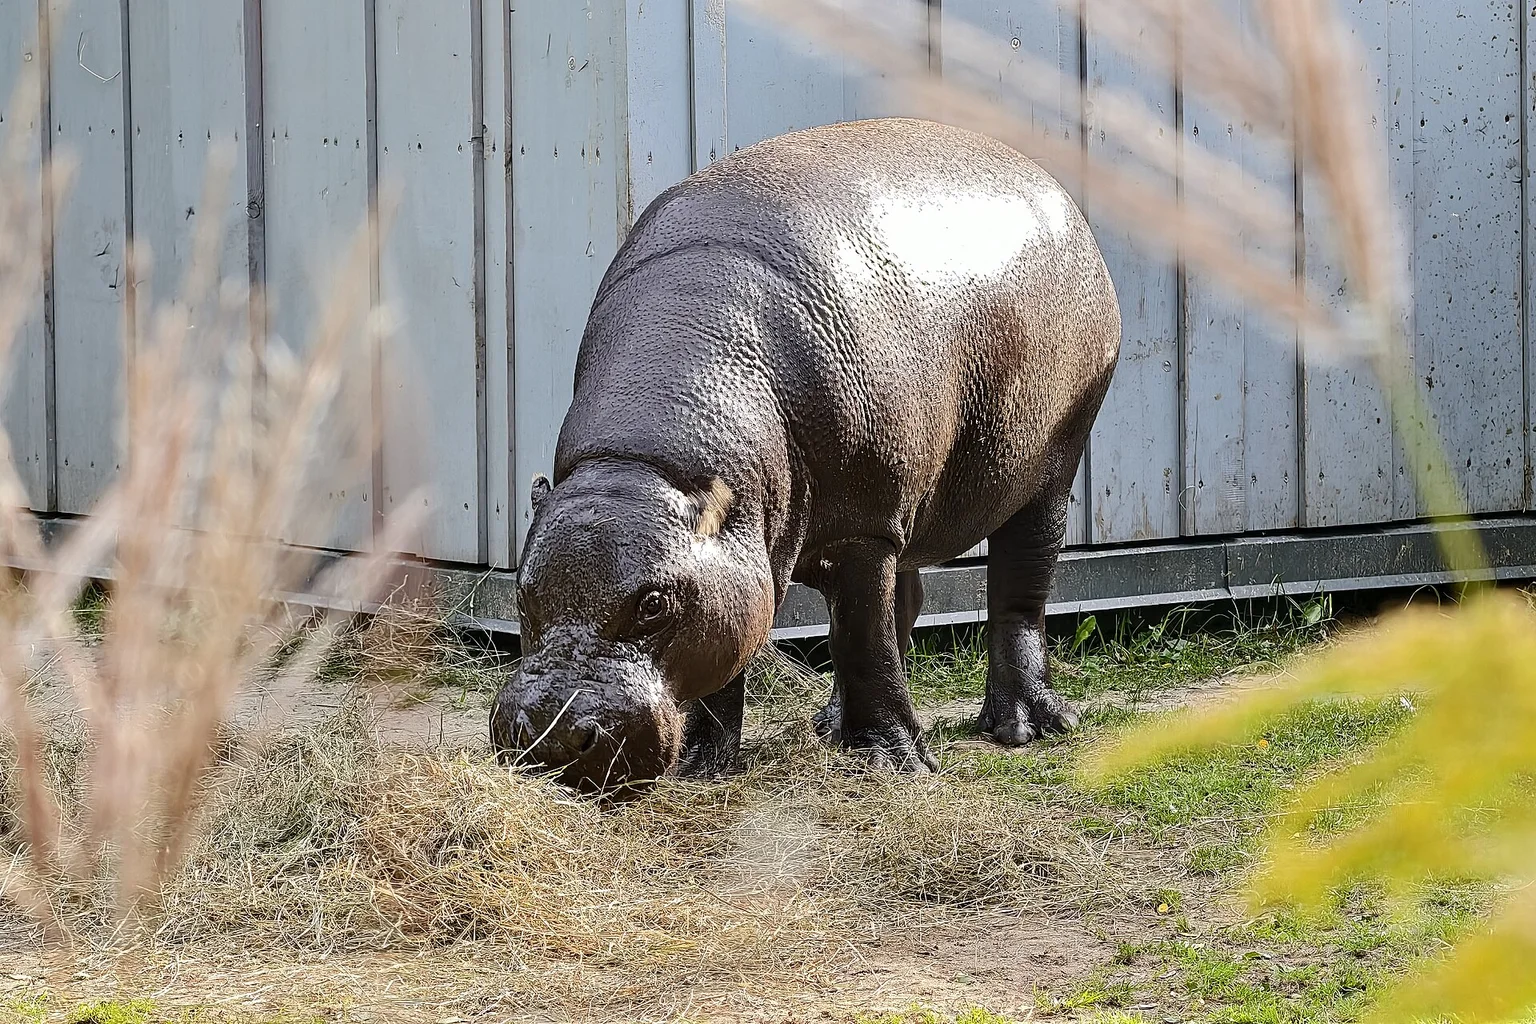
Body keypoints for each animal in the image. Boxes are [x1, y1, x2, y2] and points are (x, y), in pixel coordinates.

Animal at [490, 117, 1120, 792]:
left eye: (654, 604)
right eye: (522, 594)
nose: (552, 735)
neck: (642, 463)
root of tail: (1052, 188)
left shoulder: (860, 530)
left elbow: (865, 644)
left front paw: (894, 764)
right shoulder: (747, 557)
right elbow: (740, 644)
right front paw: (703, 764)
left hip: (1049, 464)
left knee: (1017, 590)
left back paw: (1024, 727)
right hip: (902, 510)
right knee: (903, 605)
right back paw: (830, 725)